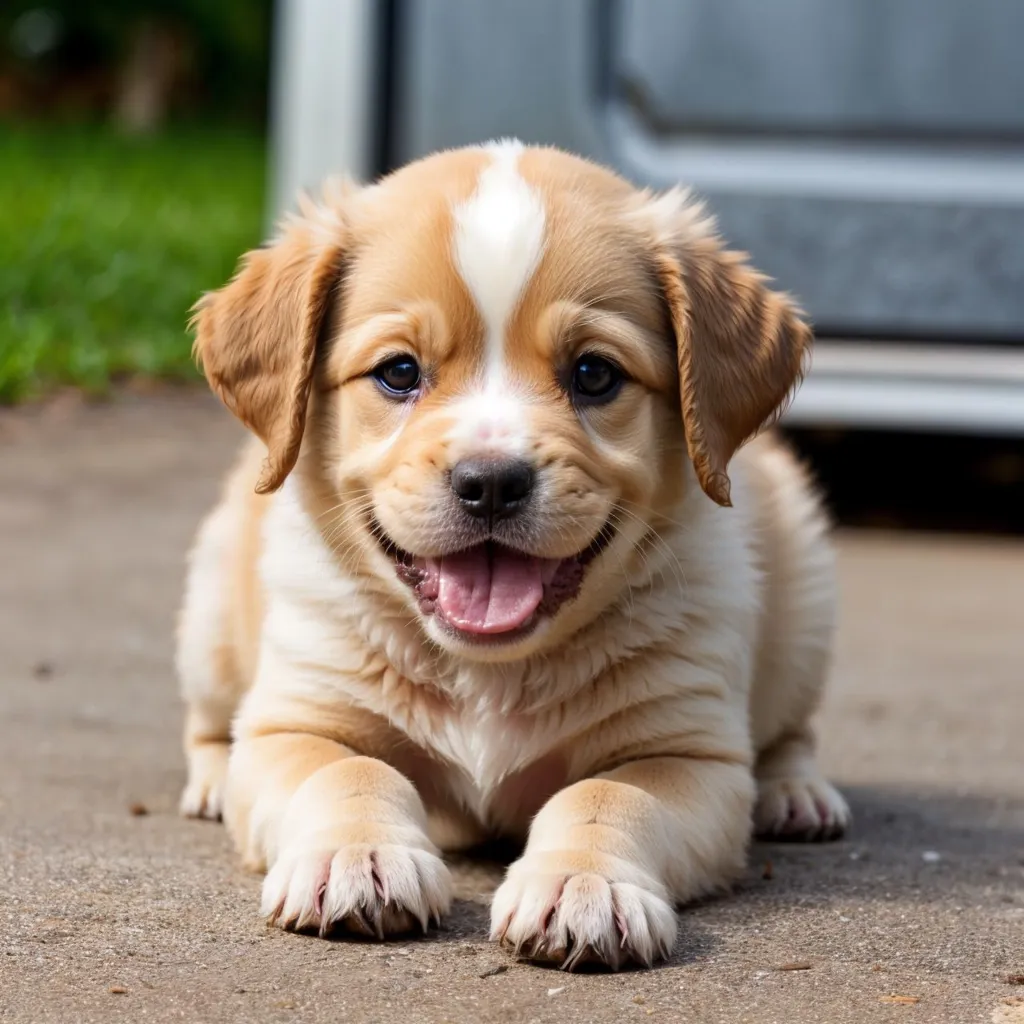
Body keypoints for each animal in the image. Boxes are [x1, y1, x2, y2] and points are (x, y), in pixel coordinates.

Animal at [176, 142, 847, 966]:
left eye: (594, 374)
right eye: (399, 372)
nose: (491, 482)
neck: (488, 672)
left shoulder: (693, 755)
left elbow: (607, 796)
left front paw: (584, 884)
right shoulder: (297, 720)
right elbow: (347, 772)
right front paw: (357, 856)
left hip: (805, 602)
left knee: (790, 729)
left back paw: (796, 792)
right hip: (210, 623)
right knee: (210, 724)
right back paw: (212, 780)